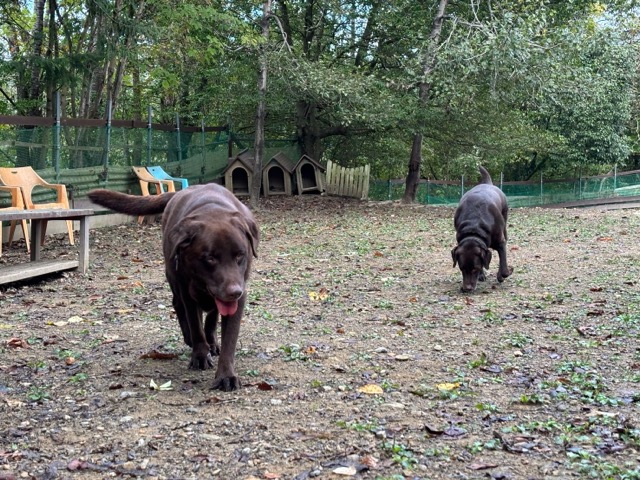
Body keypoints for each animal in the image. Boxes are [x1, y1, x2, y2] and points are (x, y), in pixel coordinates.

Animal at [88, 184, 259, 391]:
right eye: (209, 258)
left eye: (240, 255)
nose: (234, 292)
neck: (212, 209)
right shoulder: (188, 292)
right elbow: (195, 326)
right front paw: (200, 356)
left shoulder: (238, 296)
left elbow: (229, 339)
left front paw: (226, 375)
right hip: (173, 276)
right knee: (179, 305)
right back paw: (192, 340)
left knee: (211, 315)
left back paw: (212, 343)